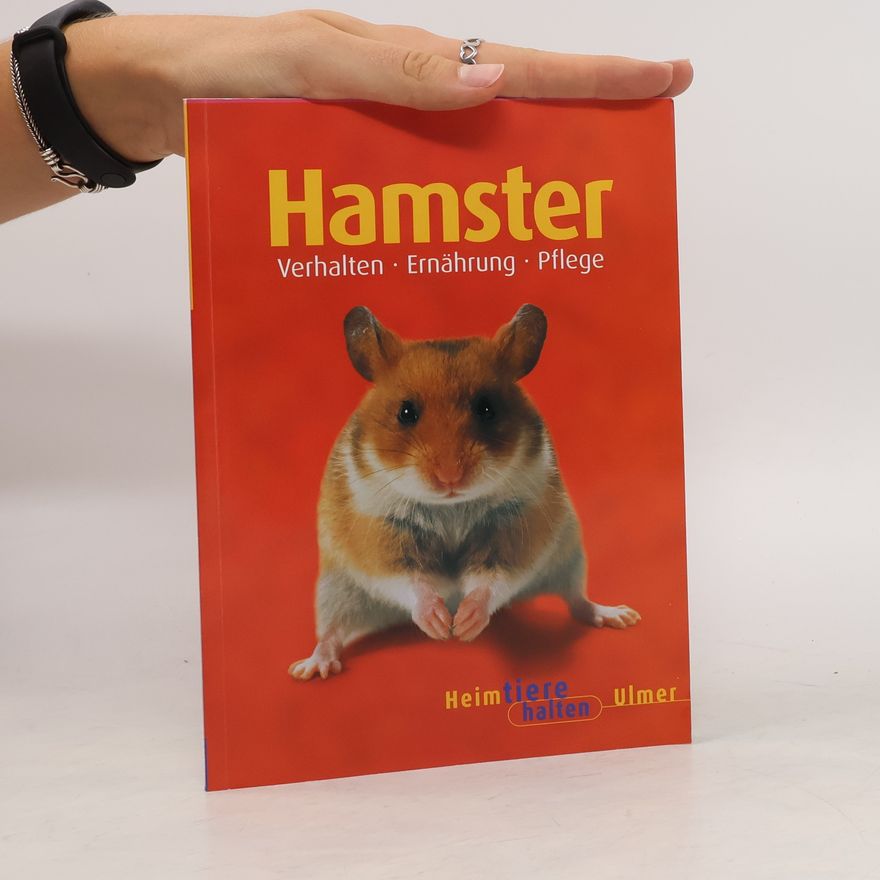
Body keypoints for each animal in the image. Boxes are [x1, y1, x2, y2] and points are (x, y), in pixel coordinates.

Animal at [289, 304, 640, 680]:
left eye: (486, 409)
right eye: (406, 412)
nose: (450, 477)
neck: (451, 507)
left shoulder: (517, 527)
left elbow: (494, 577)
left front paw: (465, 625)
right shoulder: (378, 536)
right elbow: (410, 579)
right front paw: (441, 625)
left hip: (569, 558)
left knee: (576, 601)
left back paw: (620, 616)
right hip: (336, 590)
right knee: (333, 631)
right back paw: (310, 669)